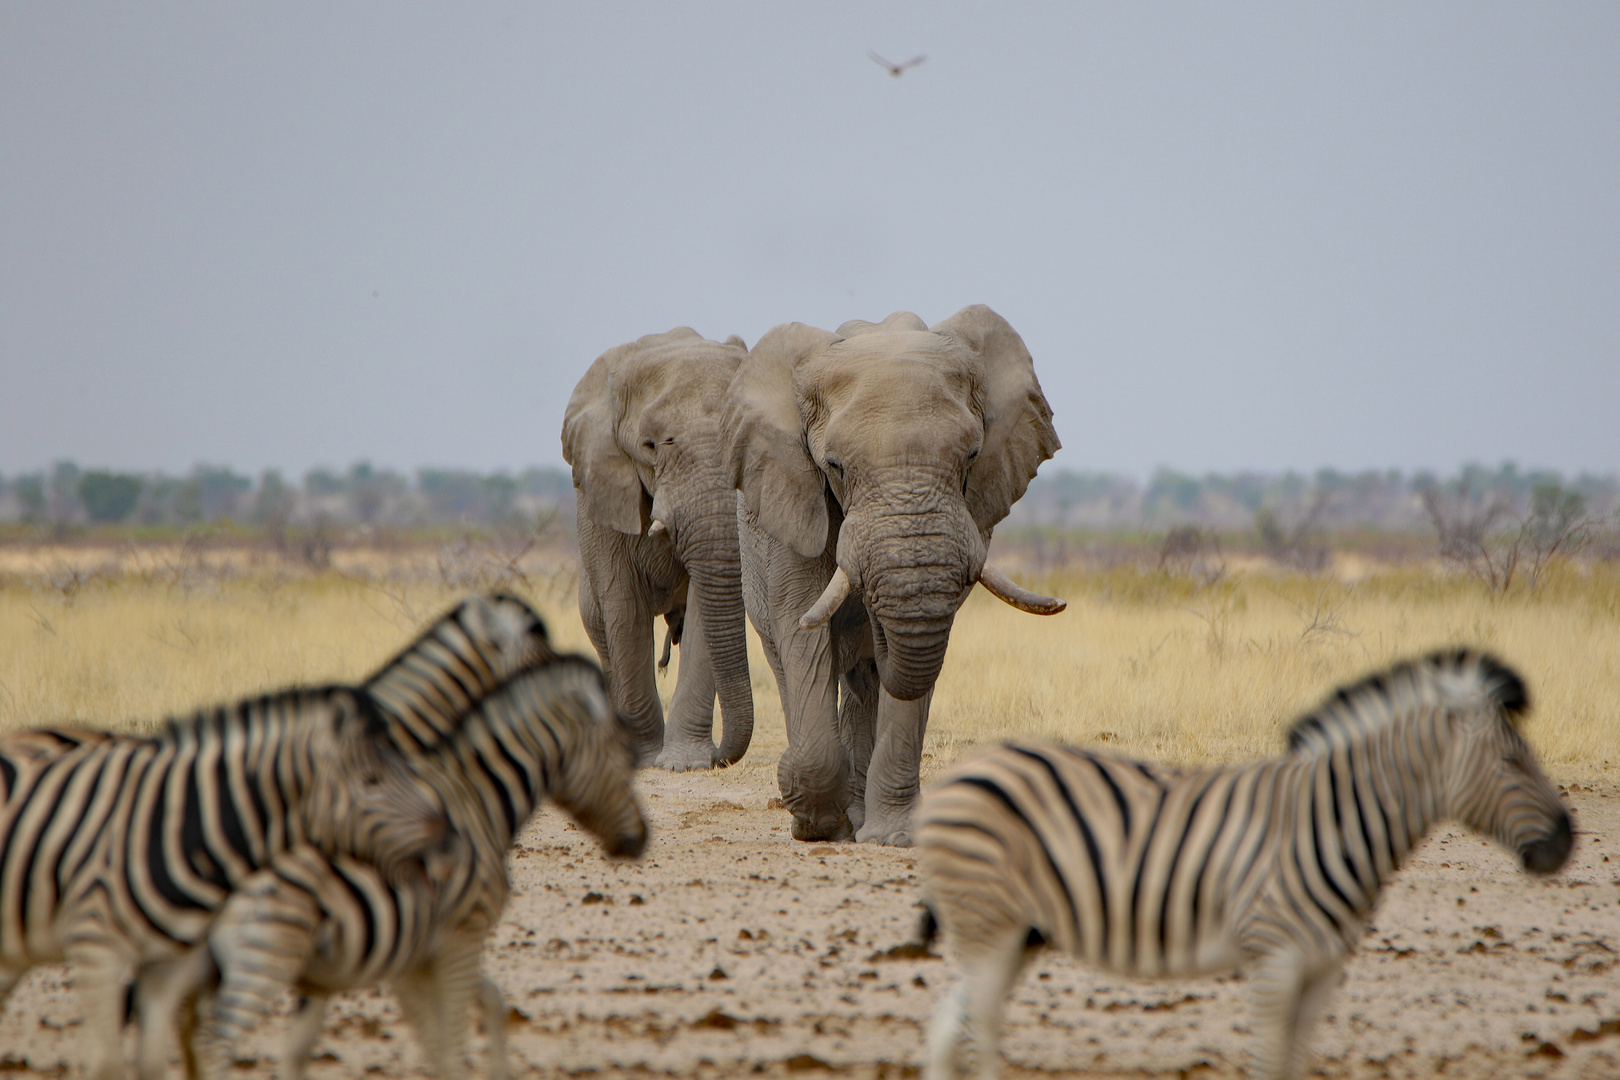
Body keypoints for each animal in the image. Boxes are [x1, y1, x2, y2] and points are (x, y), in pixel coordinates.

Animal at [137, 654, 644, 1080]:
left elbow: (470, 1017)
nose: (642, 839)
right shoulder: (461, 937)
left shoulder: (415, 956)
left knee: (169, 1034)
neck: (478, 797)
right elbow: (453, 1038)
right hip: (264, 955)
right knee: (212, 1045)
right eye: (623, 754)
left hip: (193, 962)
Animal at [563, 327, 751, 767]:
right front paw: (646, 758)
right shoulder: (605, 495)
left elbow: (704, 608)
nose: (720, 756)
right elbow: (626, 608)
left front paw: (685, 763)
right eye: (649, 446)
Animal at [729, 302, 1069, 841]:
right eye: (834, 465)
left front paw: (893, 837)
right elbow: (802, 626)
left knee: (867, 682)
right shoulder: (790, 498)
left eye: (972, 456)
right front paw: (812, 823)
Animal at [920, 650, 1574, 1080]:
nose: (1567, 843)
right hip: (989, 927)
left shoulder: (1322, 970)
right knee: (977, 1037)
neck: (1334, 823)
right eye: (1513, 762)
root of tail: (963, 769)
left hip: (1015, 934)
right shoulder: (1275, 958)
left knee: (948, 1033)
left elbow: (1292, 1064)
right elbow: (1265, 1063)